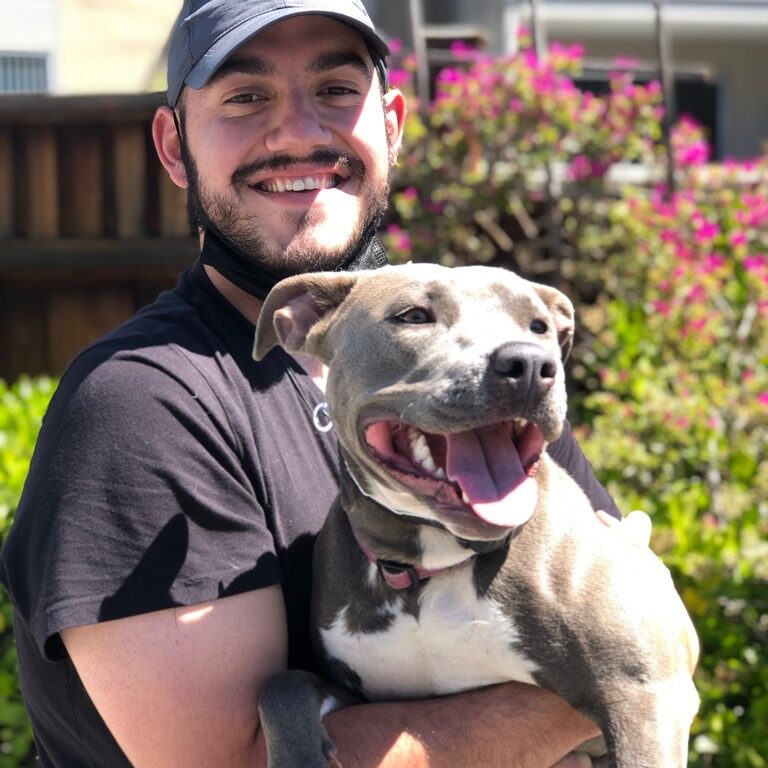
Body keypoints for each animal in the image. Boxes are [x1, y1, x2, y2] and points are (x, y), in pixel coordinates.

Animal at [255, 262, 700, 768]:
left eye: (539, 327)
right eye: (414, 316)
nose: (529, 365)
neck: (433, 562)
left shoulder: (644, 693)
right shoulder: (356, 690)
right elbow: (283, 683)